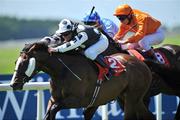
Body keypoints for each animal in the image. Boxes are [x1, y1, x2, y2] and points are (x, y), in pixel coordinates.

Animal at [9, 43, 153, 120]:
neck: (62, 71)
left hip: (132, 97)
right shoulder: (53, 99)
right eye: (16, 62)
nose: (14, 84)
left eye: (24, 63)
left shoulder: (78, 100)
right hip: (126, 97)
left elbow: (54, 110)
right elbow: (48, 112)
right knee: (149, 115)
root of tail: (141, 63)